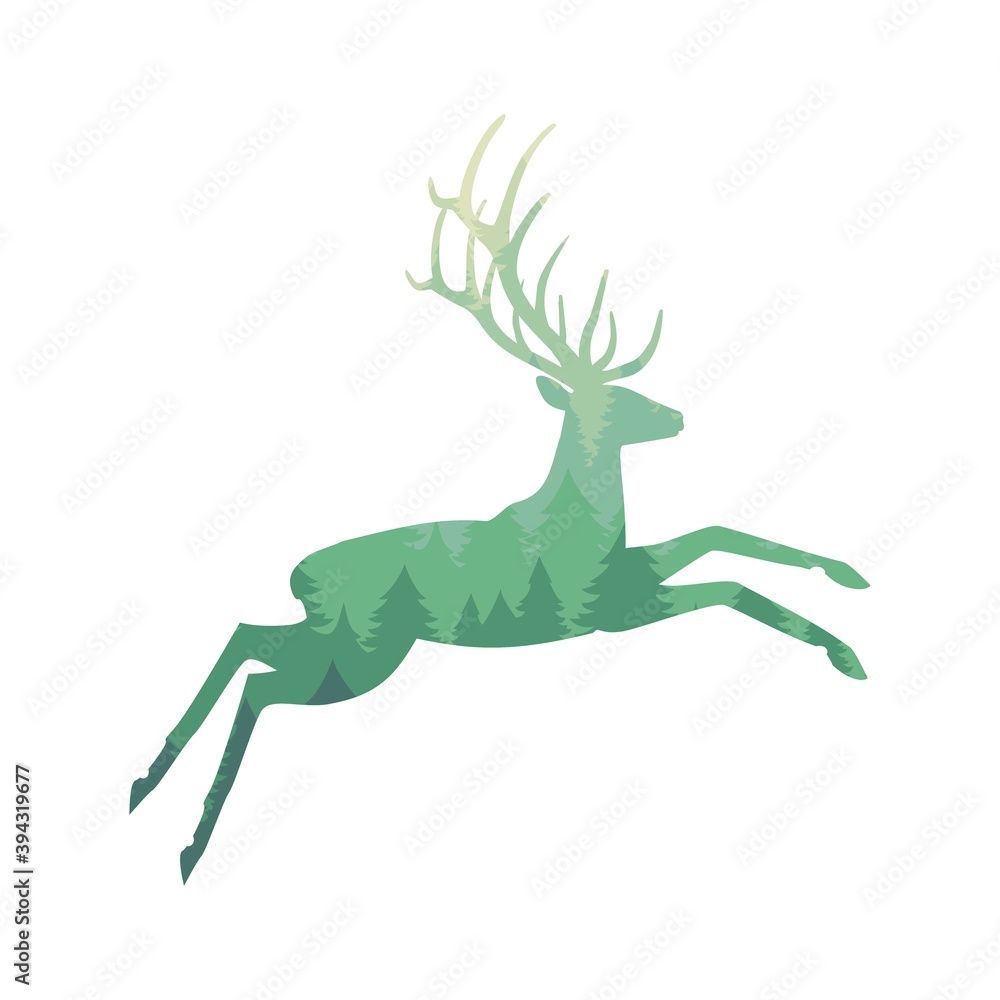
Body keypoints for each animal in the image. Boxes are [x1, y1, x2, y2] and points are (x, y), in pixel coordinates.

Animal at [130, 116, 869, 883]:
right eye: (613, 398)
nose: (677, 417)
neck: (588, 527)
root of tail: (300, 575)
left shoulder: (632, 572)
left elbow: (721, 535)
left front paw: (846, 577)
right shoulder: (601, 609)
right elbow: (728, 586)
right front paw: (845, 653)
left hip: (339, 638)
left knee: (247, 637)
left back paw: (146, 783)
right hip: (365, 652)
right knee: (260, 683)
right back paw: (190, 841)